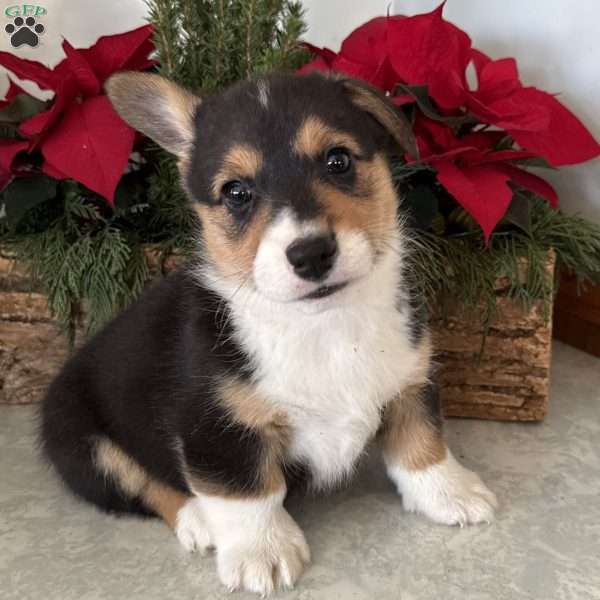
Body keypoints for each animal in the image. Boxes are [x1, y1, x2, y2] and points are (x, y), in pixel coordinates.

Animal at [38, 71, 496, 596]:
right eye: (236, 192)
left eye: (338, 160)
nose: (311, 254)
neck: (323, 326)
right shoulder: (216, 427)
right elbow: (247, 493)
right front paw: (263, 553)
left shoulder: (410, 379)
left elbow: (421, 442)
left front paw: (451, 493)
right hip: (79, 438)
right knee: (141, 485)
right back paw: (198, 520)